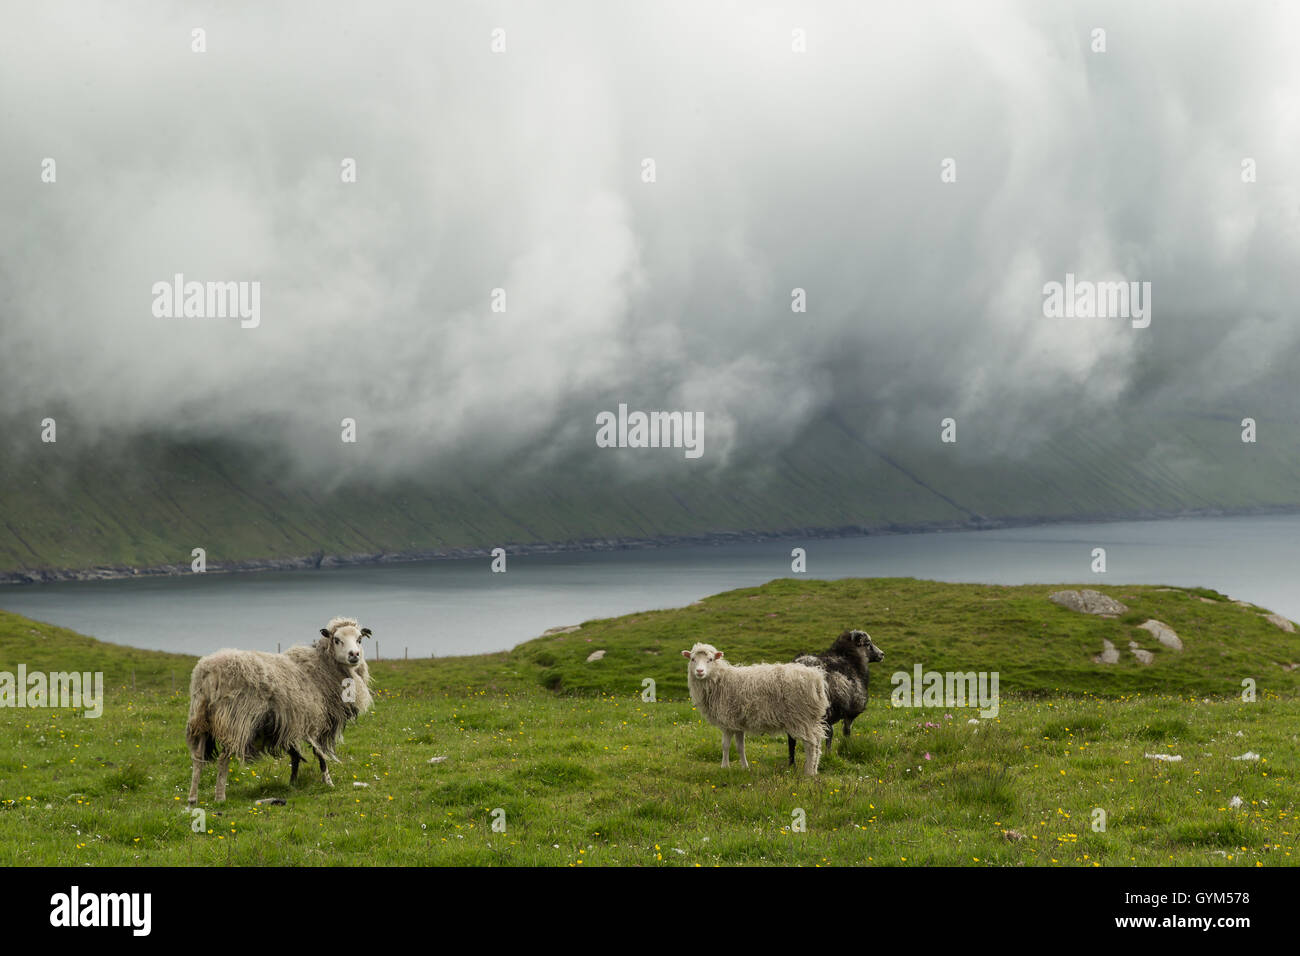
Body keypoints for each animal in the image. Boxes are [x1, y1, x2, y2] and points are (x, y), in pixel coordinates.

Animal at [185, 616, 374, 806]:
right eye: (336, 640)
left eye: (359, 639)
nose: (354, 655)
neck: (321, 667)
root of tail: (207, 671)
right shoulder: (314, 721)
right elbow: (319, 754)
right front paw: (328, 782)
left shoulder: (288, 723)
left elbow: (295, 755)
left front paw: (292, 783)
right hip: (234, 720)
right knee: (223, 758)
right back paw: (220, 797)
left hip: (200, 718)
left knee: (197, 758)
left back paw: (193, 798)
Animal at [676, 642, 826, 780]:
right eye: (692, 659)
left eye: (710, 659)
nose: (699, 671)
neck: (720, 680)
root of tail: (817, 678)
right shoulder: (737, 722)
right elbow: (740, 747)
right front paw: (745, 767)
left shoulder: (727, 720)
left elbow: (725, 745)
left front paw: (724, 767)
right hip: (811, 718)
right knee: (817, 742)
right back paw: (815, 769)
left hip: (801, 716)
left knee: (810, 744)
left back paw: (809, 772)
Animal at [785, 632, 878, 764]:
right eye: (868, 643)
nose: (882, 654)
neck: (853, 660)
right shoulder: (848, 711)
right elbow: (845, 731)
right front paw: (843, 748)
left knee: (791, 737)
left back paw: (792, 763)